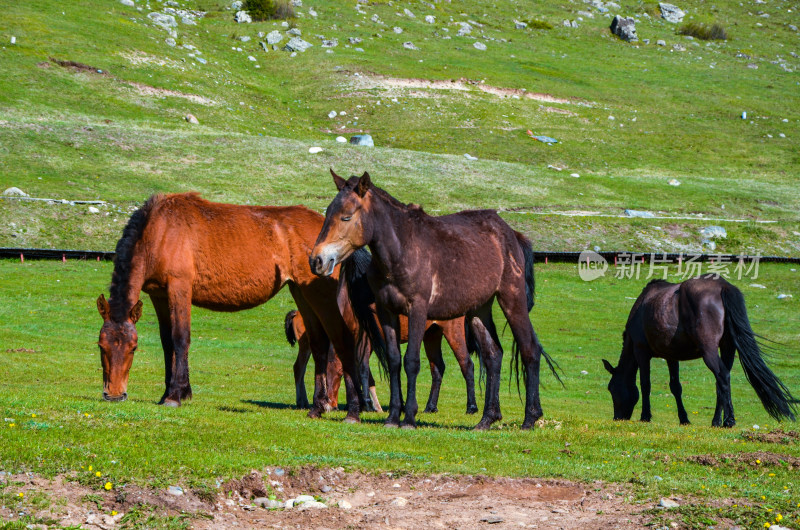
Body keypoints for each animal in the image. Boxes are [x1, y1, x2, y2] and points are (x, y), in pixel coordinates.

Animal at [94, 192, 366, 418]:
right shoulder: (158, 295)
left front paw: (175, 395)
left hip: (321, 293)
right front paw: (170, 393)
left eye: (133, 348)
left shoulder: (179, 288)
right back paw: (318, 404)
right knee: (319, 344)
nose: (114, 395)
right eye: (101, 346)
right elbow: (167, 343)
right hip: (301, 291)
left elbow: (180, 339)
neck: (159, 231)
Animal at [310, 171, 560, 426]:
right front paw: (393, 416)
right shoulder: (386, 312)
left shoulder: (417, 310)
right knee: (493, 355)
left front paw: (409, 417)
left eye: (346, 217)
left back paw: (530, 418)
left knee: (529, 350)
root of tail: (511, 234)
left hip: (512, 300)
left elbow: (411, 361)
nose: (317, 260)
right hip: (478, 310)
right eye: (328, 213)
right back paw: (486, 419)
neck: (401, 250)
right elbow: (394, 360)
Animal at [604, 274, 796, 426]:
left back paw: (729, 420)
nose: (617, 418)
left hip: (709, 350)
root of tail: (723, 286)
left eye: (611, 388)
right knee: (721, 381)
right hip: (727, 348)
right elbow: (676, 386)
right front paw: (684, 419)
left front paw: (645, 416)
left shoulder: (641, 352)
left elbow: (645, 384)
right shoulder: (671, 356)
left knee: (722, 376)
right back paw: (716, 421)